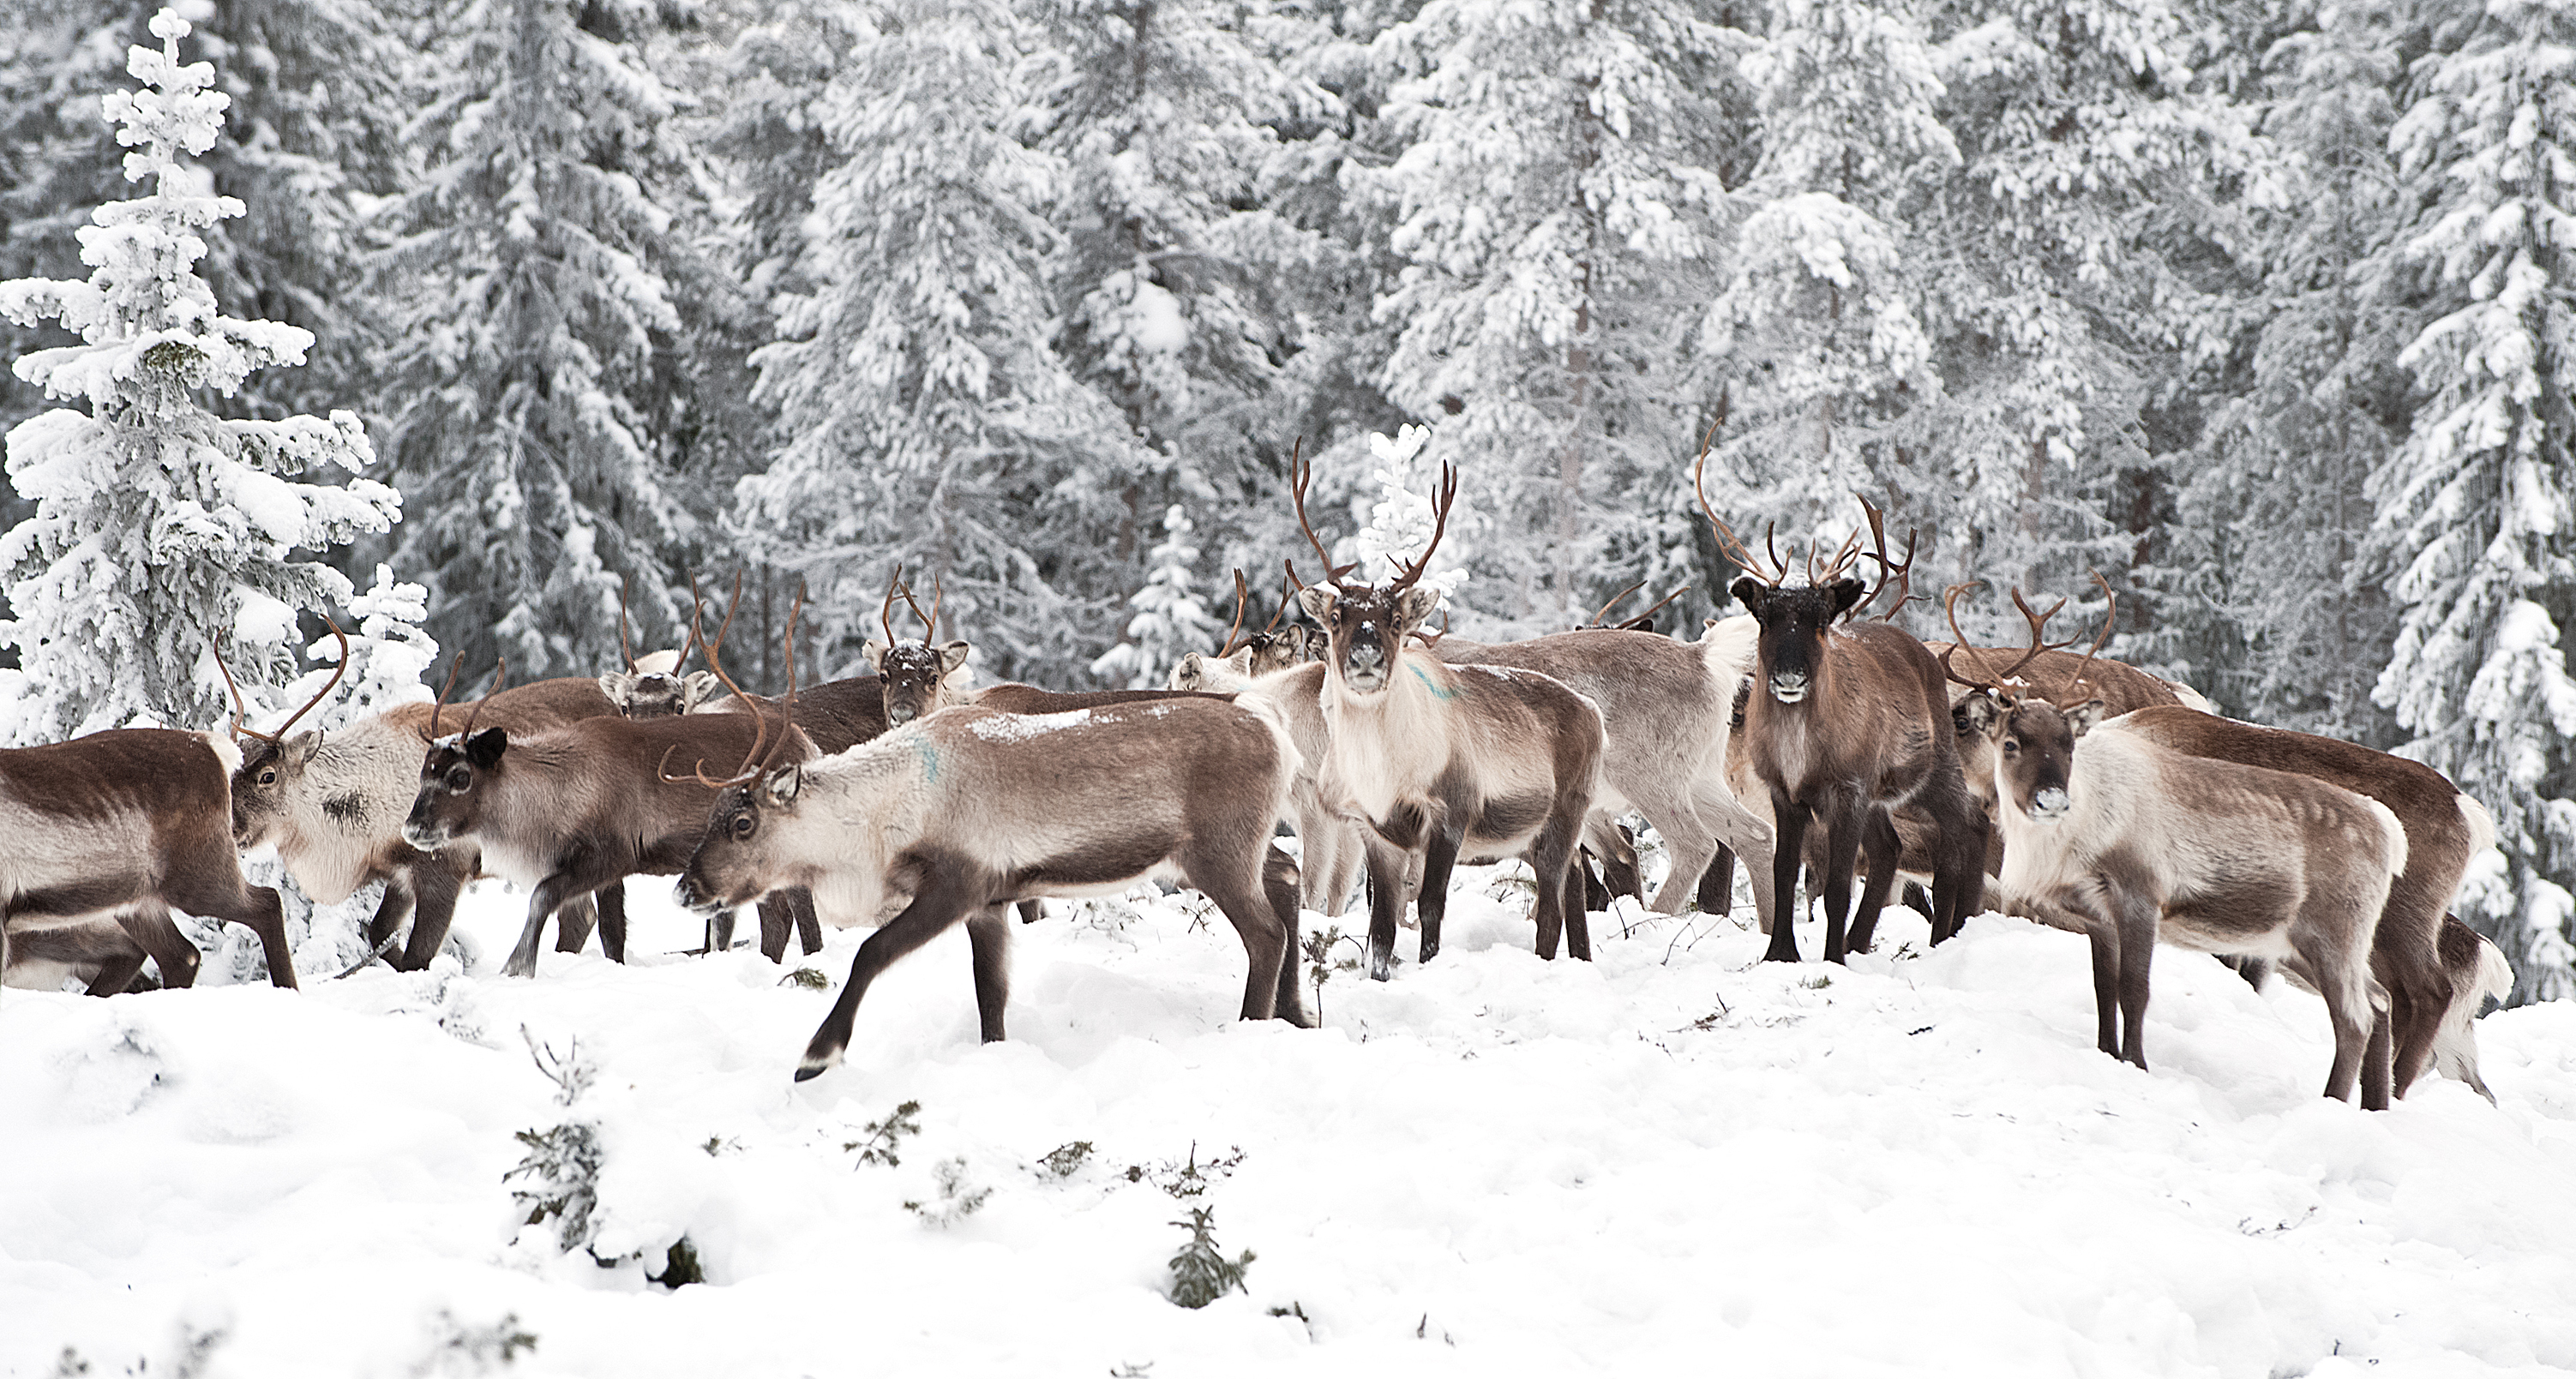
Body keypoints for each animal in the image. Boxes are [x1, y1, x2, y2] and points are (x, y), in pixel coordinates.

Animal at [667, 661, 1314, 1079]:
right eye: (715, 815)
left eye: (743, 822)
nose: (686, 888)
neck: (882, 816)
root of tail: (1273, 725)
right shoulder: (992, 903)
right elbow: (991, 993)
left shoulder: (958, 884)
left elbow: (870, 953)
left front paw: (817, 1055)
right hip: (1243, 847)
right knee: (1285, 879)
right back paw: (1300, 1014)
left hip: (1218, 852)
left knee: (1264, 931)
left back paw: (1251, 1025)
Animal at [1285, 456, 1605, 981]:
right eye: (1336, 618)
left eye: (1396, 619)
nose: (1366, 656)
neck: (1384, 772)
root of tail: (1593, 711)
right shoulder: (1377, 833)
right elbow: (1381, 924)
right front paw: (1380, 976)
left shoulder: (1450, 814)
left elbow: (1430, 906)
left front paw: (1429, 963)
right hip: (1536, 836)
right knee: (1576, 885)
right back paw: (1582, 959)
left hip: (1565, 814)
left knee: (1552, 908)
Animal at [1708, 478, 1987, 964]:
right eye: (1764, 618)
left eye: (1822, 621)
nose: (1789, 676)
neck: (1801, 751)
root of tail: (1925, 654)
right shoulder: (1785, 791)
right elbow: (1785, 872)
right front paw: (1780, 954)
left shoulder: (1848, 787)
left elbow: (1837, 884)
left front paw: (1831, 959)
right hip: (1880, 795)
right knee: (1890, 848)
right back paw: (1859, 941)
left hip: (1934, 768)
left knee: (1963, 833)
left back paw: (1944, 937)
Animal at [1980, 692, 2408, 1106]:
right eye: (2010, 744)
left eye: (2068, 745)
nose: (2051, 802)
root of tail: (2390, 831)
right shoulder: (2097, 918)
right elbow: (2104, 989)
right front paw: (2106, 1053)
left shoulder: (2140, 896)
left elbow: (2134, 990)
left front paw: (2136, 1062)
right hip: (2302, 945)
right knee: (2380, 1000)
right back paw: (2373, 1105)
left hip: (2334, 935)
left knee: (2355, 1020)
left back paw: (2331, 1101)